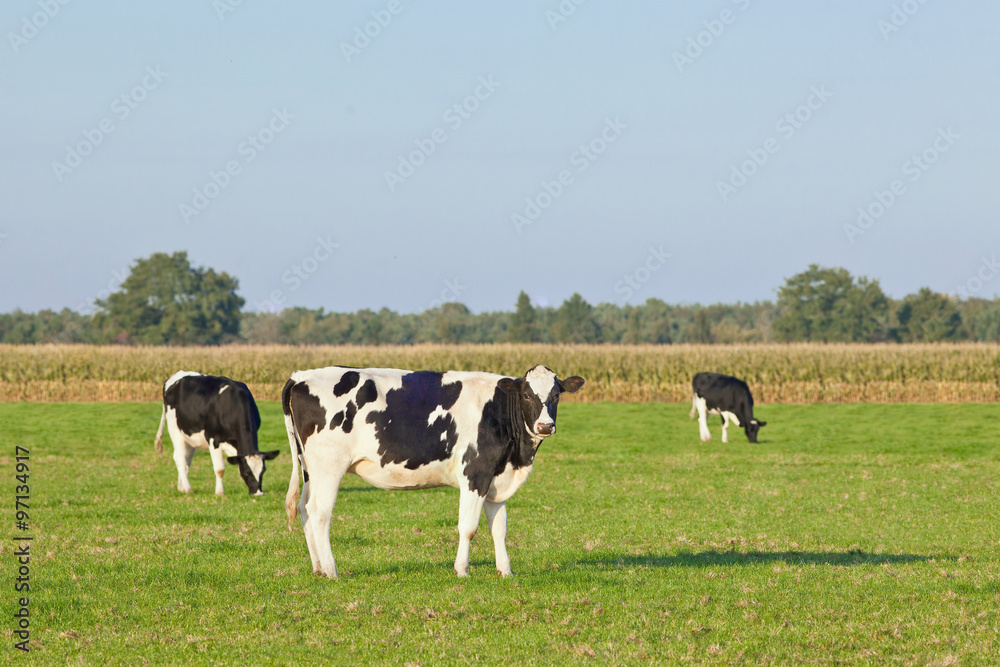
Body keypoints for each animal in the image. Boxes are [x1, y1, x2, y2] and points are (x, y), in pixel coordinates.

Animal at [280, 362, 584, 576]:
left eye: (556, 395)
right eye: (527, 395)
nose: (545, 425)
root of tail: (300, 376)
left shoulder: (496, 477)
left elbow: (499, 528)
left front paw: (505, 571)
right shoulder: (475, 473)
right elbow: (468, 527)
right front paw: (461, 570)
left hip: (310, 469)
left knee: (305, 509)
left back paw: (318, 568)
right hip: (329, 467)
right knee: (320, 513)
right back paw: (332, 570)